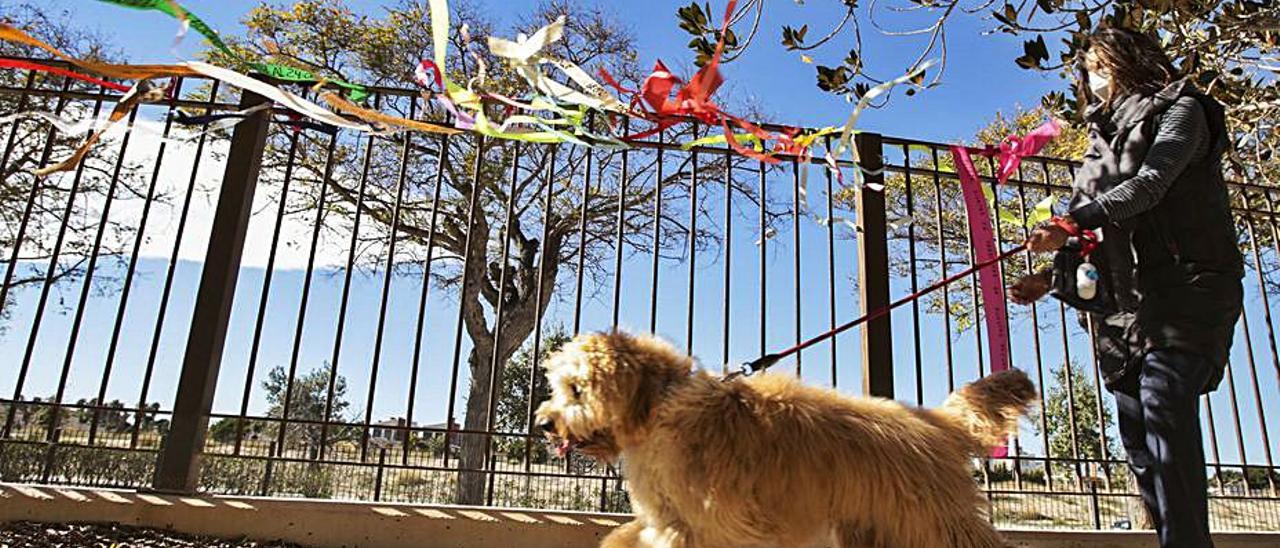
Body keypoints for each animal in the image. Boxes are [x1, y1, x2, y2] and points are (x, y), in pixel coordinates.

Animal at [532, 330, 1039, 548]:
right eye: (558, 387)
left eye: (577, 389)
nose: (545, 424)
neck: (660, 407)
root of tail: (933, 421)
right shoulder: (675, 522)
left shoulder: (714, 525)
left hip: (935, 522)